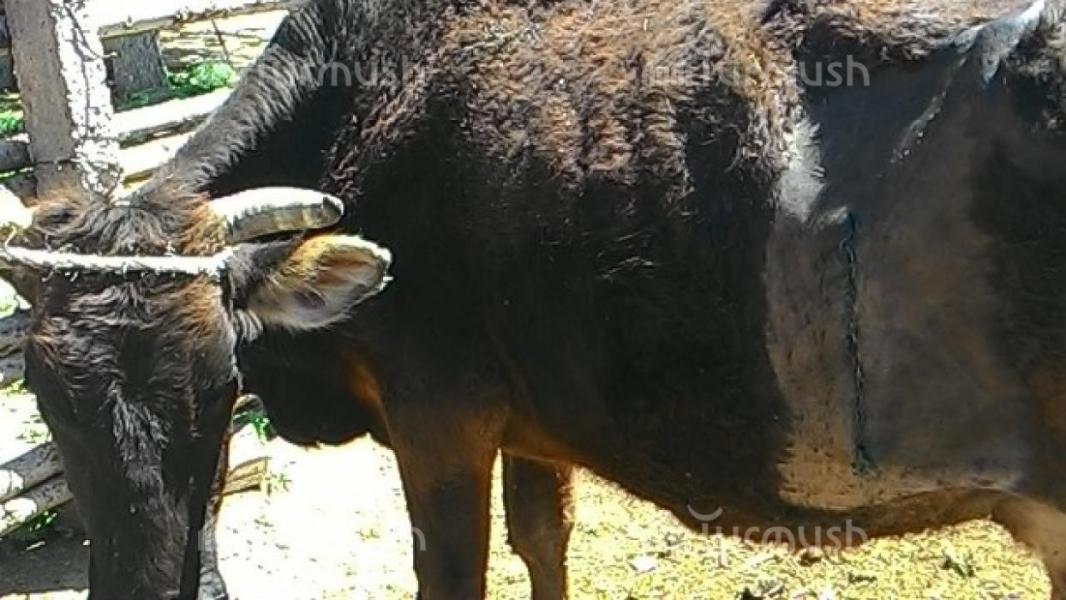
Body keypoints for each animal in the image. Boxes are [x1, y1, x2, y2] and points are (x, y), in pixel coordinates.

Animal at [1, 0, 1065, 598]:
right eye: (46, 401)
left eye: (221, 382)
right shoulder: (533, 423)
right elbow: (544, 544)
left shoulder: (439, 416)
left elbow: (454, 572)